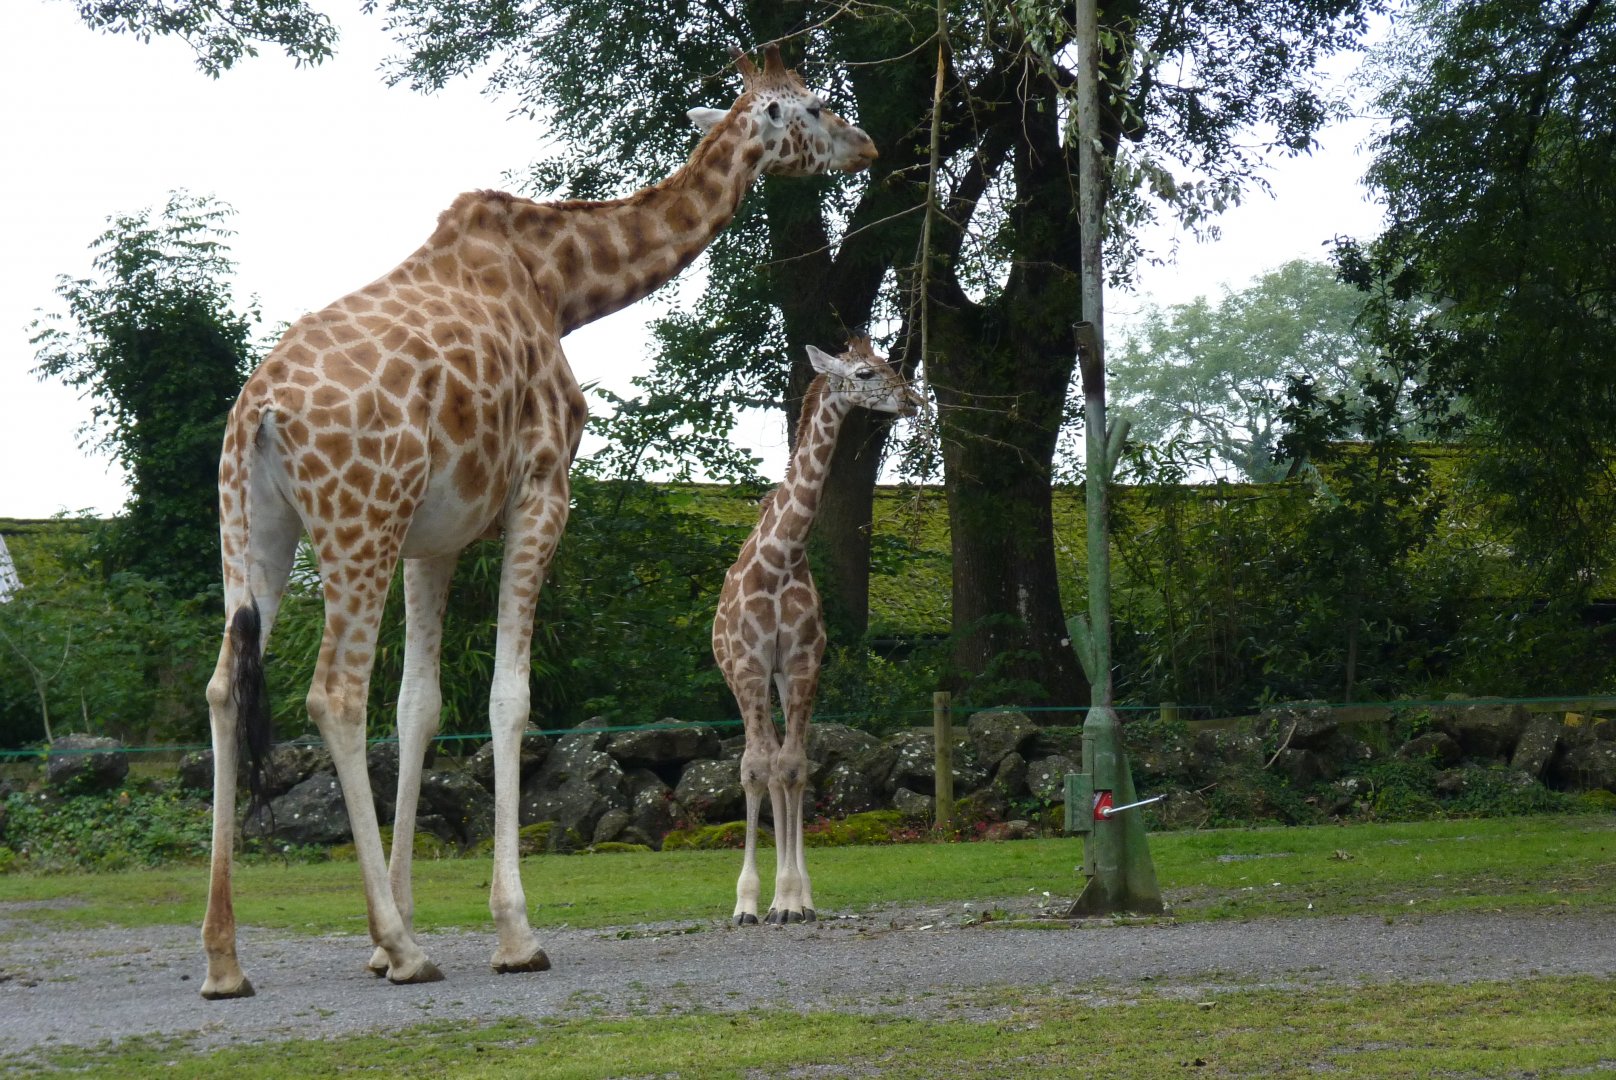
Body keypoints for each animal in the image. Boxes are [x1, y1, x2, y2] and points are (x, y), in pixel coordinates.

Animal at [198, 44, 877, 1000]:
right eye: (814, 106)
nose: (868, 145)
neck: (562, 285)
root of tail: (259, 412)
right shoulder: (543, 491)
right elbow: (508, 699)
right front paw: (506, 933)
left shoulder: (435, 535)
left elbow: (419, 705)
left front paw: (397, 927)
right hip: (358, 518)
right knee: (333, 692)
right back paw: (400, 952)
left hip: (255, 523)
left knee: (227, 686)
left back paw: (227, 959)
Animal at [712, 337, 923, 925]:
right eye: (865, 372)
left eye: (891, 364)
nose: (913, 400)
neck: (783, 557)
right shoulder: (750, 665)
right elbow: (754, 768)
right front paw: (747, 903)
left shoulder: (804, 664)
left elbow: (794, 767)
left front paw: (791, 899)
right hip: (744, 678)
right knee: (757, 764)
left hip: (784, 681)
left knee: (787, 763)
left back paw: (792, 899)